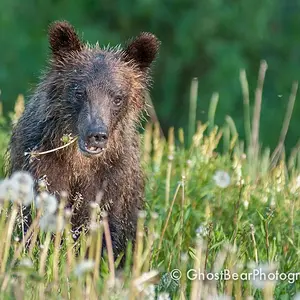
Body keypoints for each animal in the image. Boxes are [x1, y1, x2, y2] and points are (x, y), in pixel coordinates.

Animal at [8, 21, 161, 258]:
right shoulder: (42, 163)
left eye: (117, 97)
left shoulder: (114, 179)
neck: (80, 162)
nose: (96, 134)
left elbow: (109, 230)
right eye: (79, 92)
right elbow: (36, 218)